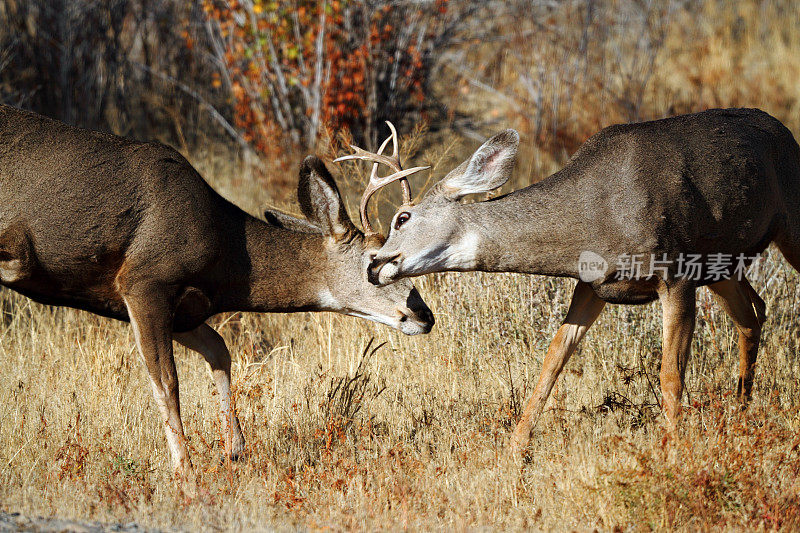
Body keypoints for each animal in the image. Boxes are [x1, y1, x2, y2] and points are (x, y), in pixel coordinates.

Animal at [0, 104, 438, 478]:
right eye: (374, 261)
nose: (425, 315)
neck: (227, 252)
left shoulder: (188, 310)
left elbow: (220, 350)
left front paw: (235, 449)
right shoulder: (144, 280)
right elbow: (167, 381)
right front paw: (186, 472)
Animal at [340, 110, 800, 450]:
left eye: (402, 218)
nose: (374, 265)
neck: (594, 219)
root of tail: (785, 130)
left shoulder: (676, 273)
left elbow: (671, 375)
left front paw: (673, 447)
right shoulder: (591, 285)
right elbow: (553, 359)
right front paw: (516, 448)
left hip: (786, 226)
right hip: (723, 265)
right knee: (752, 312)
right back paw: (741, 409)